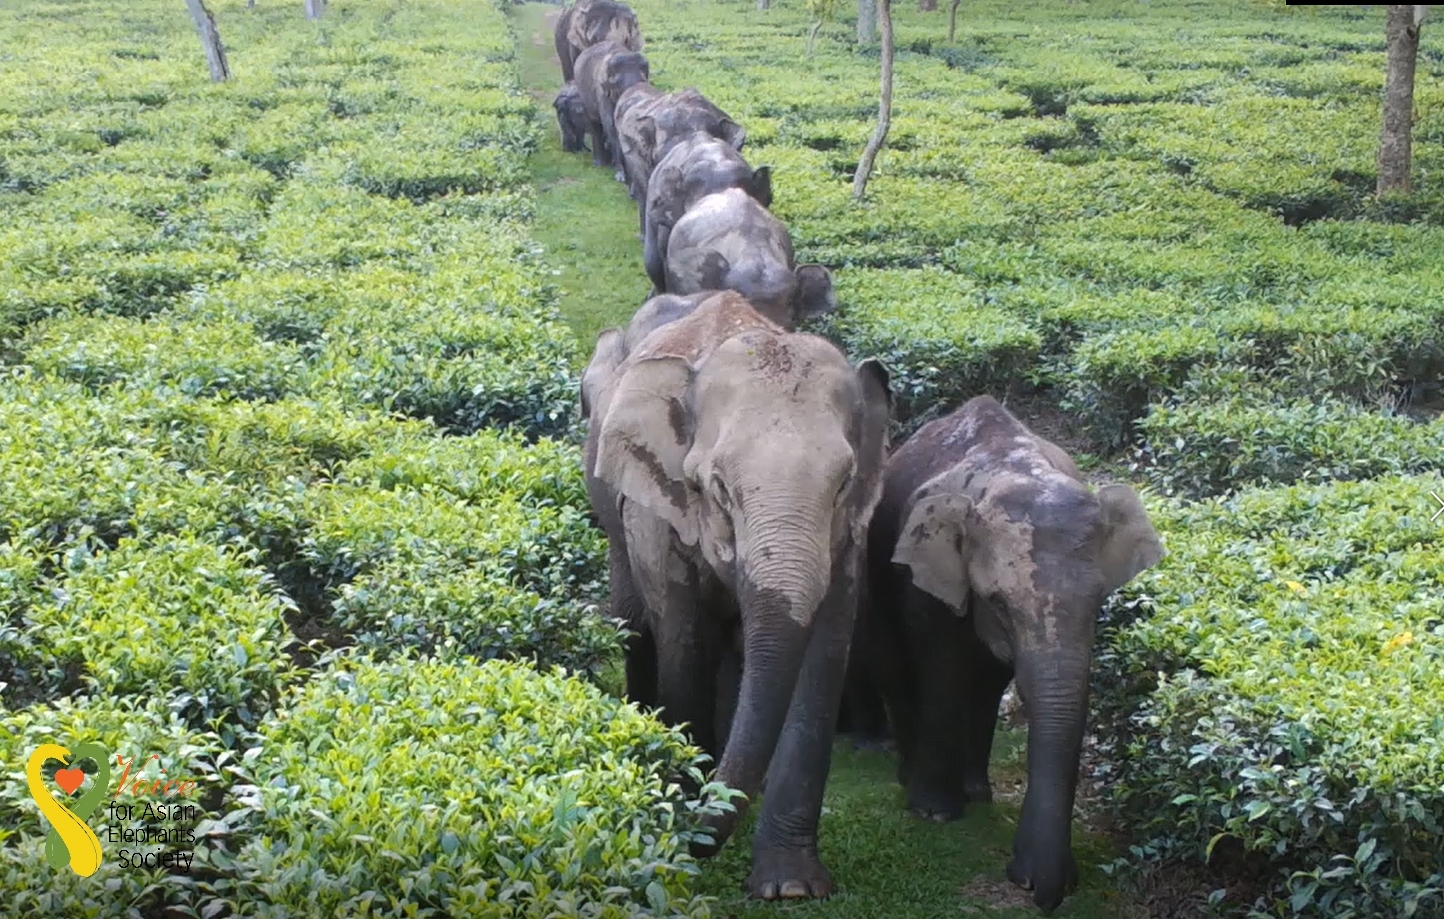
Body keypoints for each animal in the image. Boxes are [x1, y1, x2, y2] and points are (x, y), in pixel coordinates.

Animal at [574, 41, 650, 171]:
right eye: (617, 85)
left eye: (643, 80)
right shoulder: (601, 92)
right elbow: (610, 124)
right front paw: (619, 172)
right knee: (595, 125)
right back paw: (599, 164)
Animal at [581, 290, 893, 900]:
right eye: (717, 488)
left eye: (843, 484)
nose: (685, 836)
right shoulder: (659, 513)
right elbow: (684, 638)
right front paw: (678, 792)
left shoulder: (850, 537)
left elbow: (824, 653)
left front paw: (790, 888)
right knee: (636, 618)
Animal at [858, 394, 1164, 913]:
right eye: (997, 602)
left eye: (1099, 600)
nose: (1031, 886)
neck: (1016, 471)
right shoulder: (929, 579)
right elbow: (943, 667)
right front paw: (935, 815)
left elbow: (990, 679)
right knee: (895, 665)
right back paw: (910, 779)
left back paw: (977, 792)